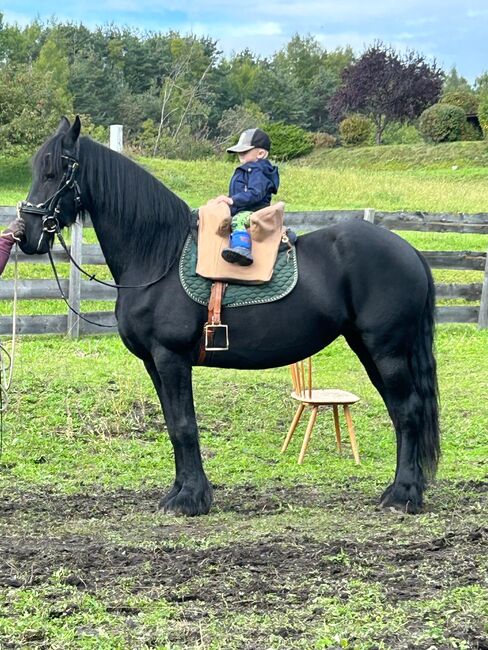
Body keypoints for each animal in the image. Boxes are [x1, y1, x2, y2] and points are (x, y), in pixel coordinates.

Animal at [19, 115, 440, 512]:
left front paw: (189, 499)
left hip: (386, 351)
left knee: (407, 411)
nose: (27, 234)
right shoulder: (155, 363)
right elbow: (173, 425)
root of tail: (408, 250)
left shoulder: (171, 358)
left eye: (55, 171)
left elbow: (185, 426)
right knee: (401, 412)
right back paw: (403, 490)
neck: (159, 255)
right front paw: (182, 491)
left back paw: (402, 495)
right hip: (370, 350)